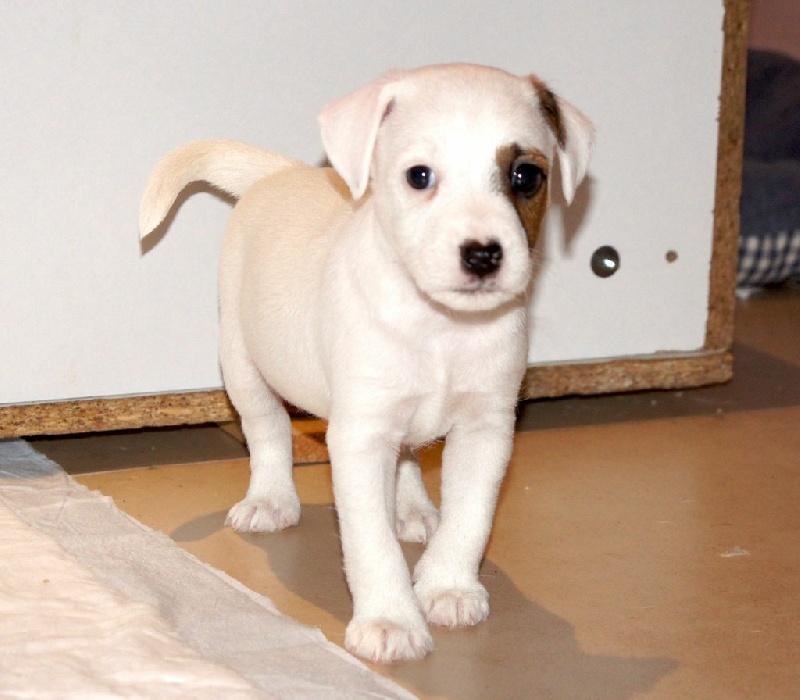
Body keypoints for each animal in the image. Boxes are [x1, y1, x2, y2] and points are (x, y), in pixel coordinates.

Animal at [139, 63, 593, 663]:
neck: (440, 327)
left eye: (526, 176)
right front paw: (390, 619)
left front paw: (449, 585)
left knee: (405, 458)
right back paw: (270, 498)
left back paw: (413, 509)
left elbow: (471, 516)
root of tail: (281, 173)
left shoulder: (486, 429)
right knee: (268, 430)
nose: (482, 254)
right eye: (419, 176)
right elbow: (369, 540)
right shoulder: (359, 438)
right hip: (242, 363)